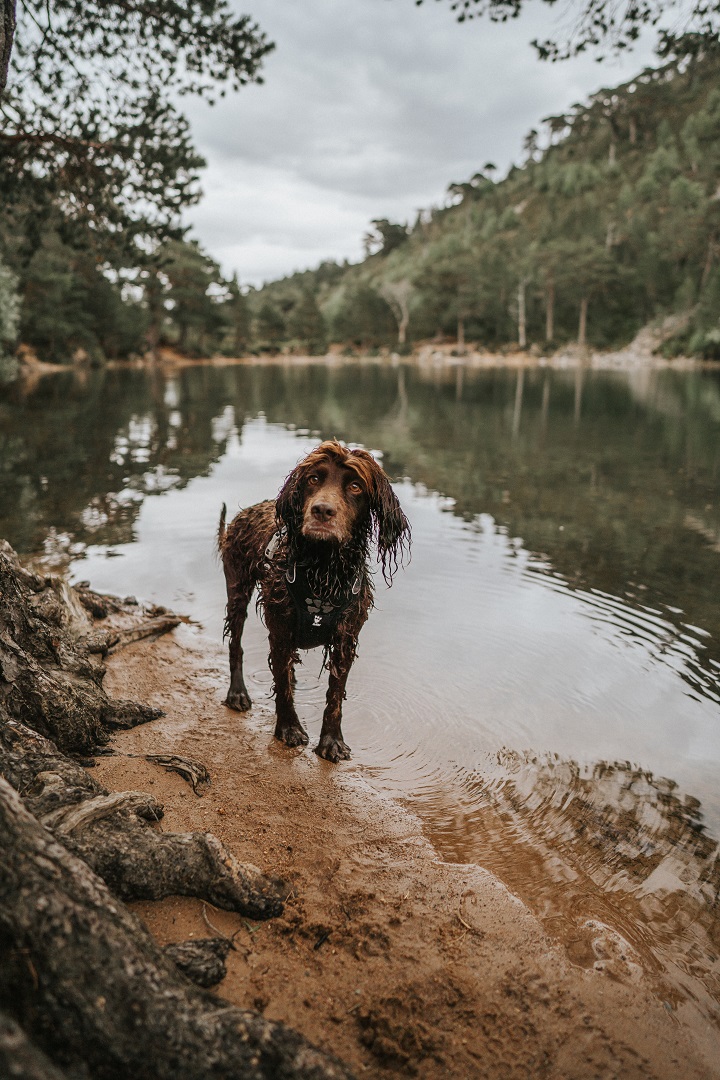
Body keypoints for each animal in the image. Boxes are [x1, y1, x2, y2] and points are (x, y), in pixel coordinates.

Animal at [218, 438, 410, 760]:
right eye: (313, 479)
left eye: (355, 486)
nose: (322, 510)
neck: (324, 568)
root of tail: (245, 512)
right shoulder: (280, 628)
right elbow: (282, 686)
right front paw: (289, 729)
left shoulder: (346, 638)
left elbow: (334, 696)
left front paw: (331, 741)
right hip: (237, 588)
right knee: (236, 644)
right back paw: (237, 693)